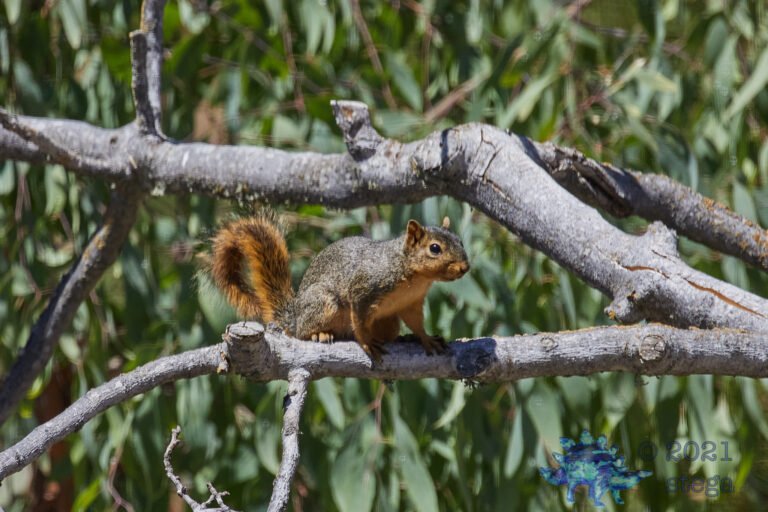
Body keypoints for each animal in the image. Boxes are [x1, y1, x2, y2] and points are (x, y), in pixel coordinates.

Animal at [210, 214, 470, 362]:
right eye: (435, 248)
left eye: (461, 241)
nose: (465, 267)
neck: (414, 276)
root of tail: (293, 316)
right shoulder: (363, 292)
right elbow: (359, 322)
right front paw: (366, 343)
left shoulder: (411, 303)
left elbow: (416, 323)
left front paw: (426, 339)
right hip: (325, 304)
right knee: (302, 332)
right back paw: (320, 333)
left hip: (388, 322)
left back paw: (402, 338)